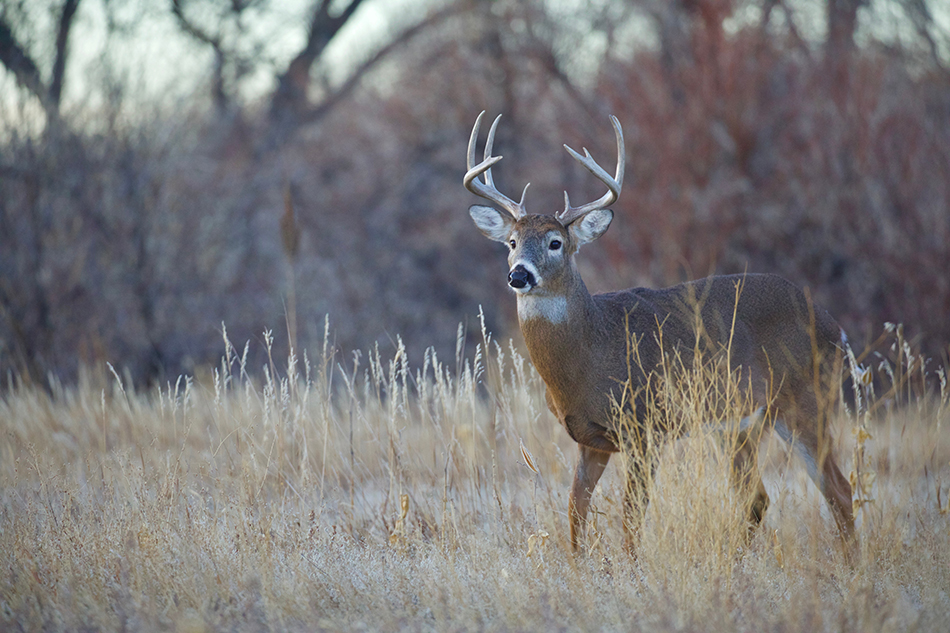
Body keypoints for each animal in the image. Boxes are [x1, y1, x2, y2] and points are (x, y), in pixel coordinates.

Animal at [463, 111, 856, 555]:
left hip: (806, 401)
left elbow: (631, 516)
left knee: (839, 490)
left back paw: (850, 564)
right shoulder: (590, 439)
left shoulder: (645, 427)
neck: (590, 354)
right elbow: (575, 512)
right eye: (511, 242)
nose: (519, 275)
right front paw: (578, 565)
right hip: (739, 423)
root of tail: (834, 327)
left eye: (555, 242)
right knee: (758, 497)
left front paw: (632, 566)